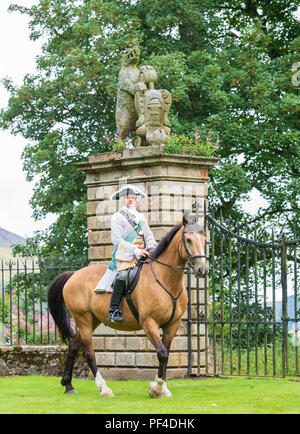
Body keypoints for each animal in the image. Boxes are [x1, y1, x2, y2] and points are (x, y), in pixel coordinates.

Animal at [47, 212, 209, 398]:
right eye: (188, 239)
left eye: (205, 239)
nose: (202, 270)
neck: (165, 280)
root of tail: (73, 274)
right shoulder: (149, 323)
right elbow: (162, 353)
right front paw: (156, 388)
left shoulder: (172, 325)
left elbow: (166, 355)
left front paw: (162, 388)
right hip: (83, 319)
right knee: (88, 352)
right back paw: (104, 388)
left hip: (92, 320)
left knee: (73, 345)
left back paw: (68, 385)